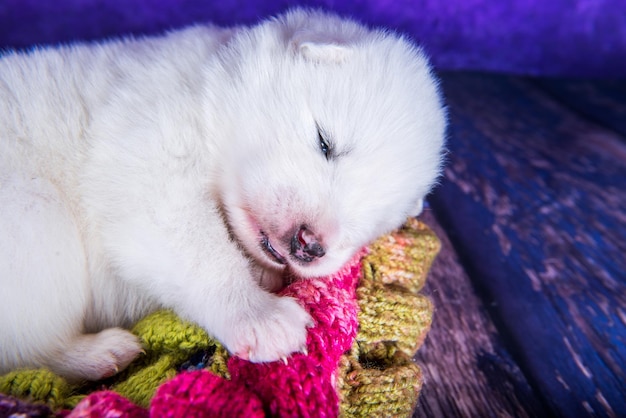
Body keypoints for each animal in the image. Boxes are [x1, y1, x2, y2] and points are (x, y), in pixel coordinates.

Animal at [0, 8, 444, 380]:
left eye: (377, 222)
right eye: (325, 142)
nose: (310, 245)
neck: (205, 97)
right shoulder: (149, 157)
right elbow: (200, 250)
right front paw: (261, 317)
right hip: (35, 217)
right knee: (29, 351)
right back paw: (101, 354)